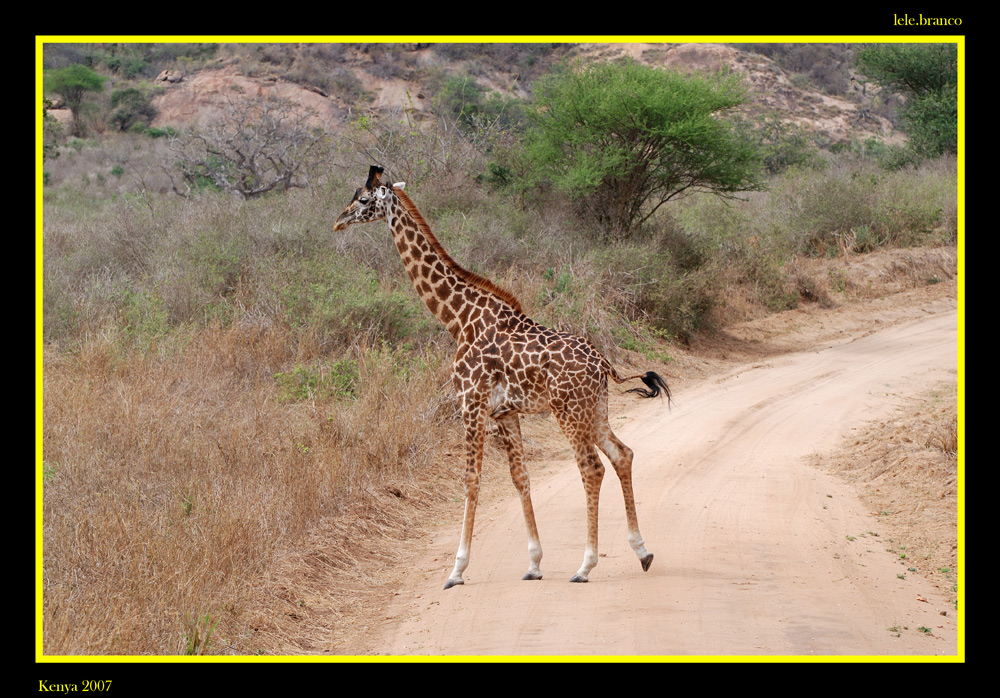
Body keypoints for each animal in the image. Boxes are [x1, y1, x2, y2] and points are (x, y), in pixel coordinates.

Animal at [333, 165, 671, 589]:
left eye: (363, 199)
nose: (337, 222)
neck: (459, 319)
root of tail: (603, 363)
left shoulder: (471, 404)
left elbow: (471, 479)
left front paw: (456, 570)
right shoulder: (505, 412)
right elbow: (519, 477)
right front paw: (534, 564)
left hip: (569, 411)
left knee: (592, 468)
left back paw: (585, 566)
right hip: (596, 409)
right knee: (622, 454)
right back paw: (642, 552)